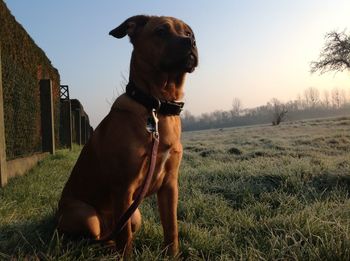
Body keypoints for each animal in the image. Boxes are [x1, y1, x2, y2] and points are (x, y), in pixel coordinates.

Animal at [58, 14, 198, 254]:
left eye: (188, 32)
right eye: (161, 31)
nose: (191, 42)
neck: (157, 106)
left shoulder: (170, 185)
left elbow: (171, 229)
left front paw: (173, 255)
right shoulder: (123, 188)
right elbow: (126, 241)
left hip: (135, 216)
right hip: (87, 216)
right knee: (92, 237)